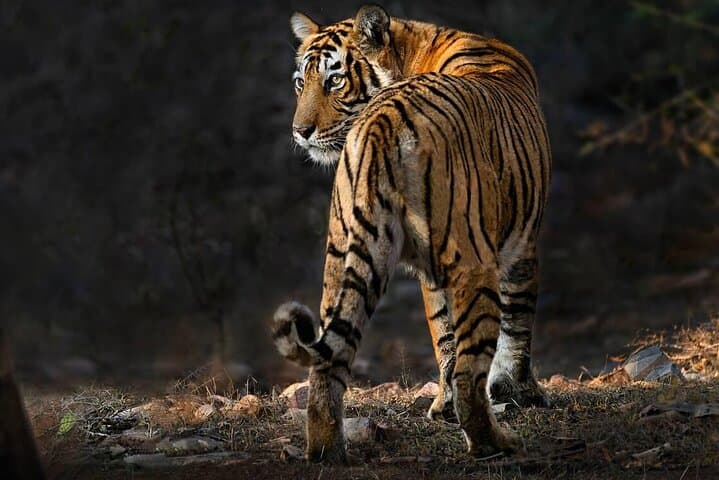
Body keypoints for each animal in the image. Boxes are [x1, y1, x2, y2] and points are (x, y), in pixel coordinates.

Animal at [272, 4, 551, 463]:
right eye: (301, 82)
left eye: (334, 80)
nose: (300, 132)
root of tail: (384, 118)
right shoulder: (522, 244)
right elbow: (516, 328)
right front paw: (523, 393)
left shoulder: (430, 272)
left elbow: (443, 336)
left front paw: (443, 406)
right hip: (475, 261)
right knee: (473, 371)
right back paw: (495, 444)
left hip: (344, 258)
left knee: (327, 365)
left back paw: (326, 451)